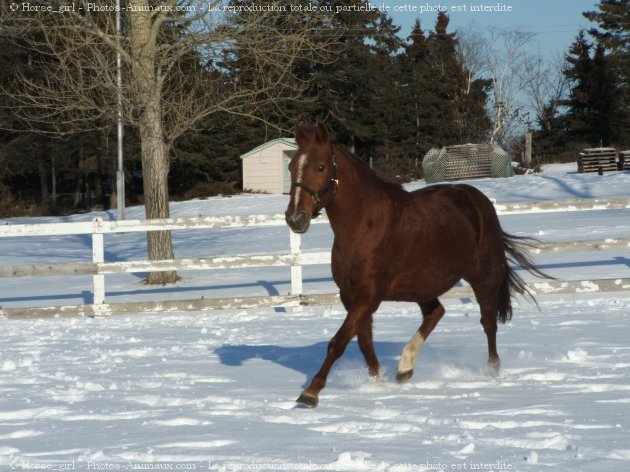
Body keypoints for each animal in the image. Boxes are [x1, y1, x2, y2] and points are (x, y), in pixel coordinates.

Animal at [286, 123, 548, 408]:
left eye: (321, 167)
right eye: (291, 167)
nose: (295, 218)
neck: (365, 225)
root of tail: (478, 200)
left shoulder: (369, 294)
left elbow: (339, 341)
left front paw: (311, 392)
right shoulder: (351, 295)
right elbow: (364, 341)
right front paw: (378, 383)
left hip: (483, 278)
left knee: (488, 323)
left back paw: (492, 372)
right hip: (422, 286)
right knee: (436, 313)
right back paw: (405, 367)